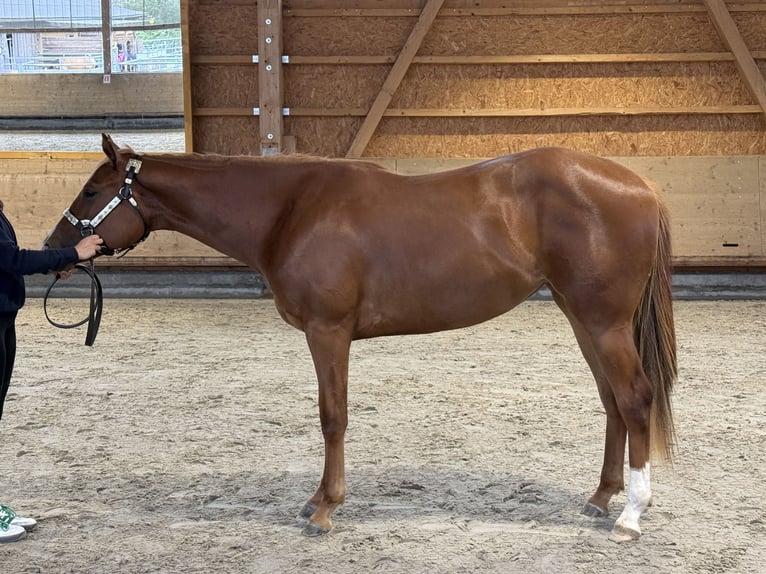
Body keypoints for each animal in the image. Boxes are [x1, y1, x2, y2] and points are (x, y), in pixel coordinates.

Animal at [44, 134, 676, 542]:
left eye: (88, 193)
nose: (56, 251)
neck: (291, 209)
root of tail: (642, 186)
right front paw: (318, 500)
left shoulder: (328, 332)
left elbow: (333, 416)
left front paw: (325, 508)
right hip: (582, 316)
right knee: (612, 402)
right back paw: (600, 499)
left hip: (602, 320)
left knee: (635, 398)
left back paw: (630, 516)